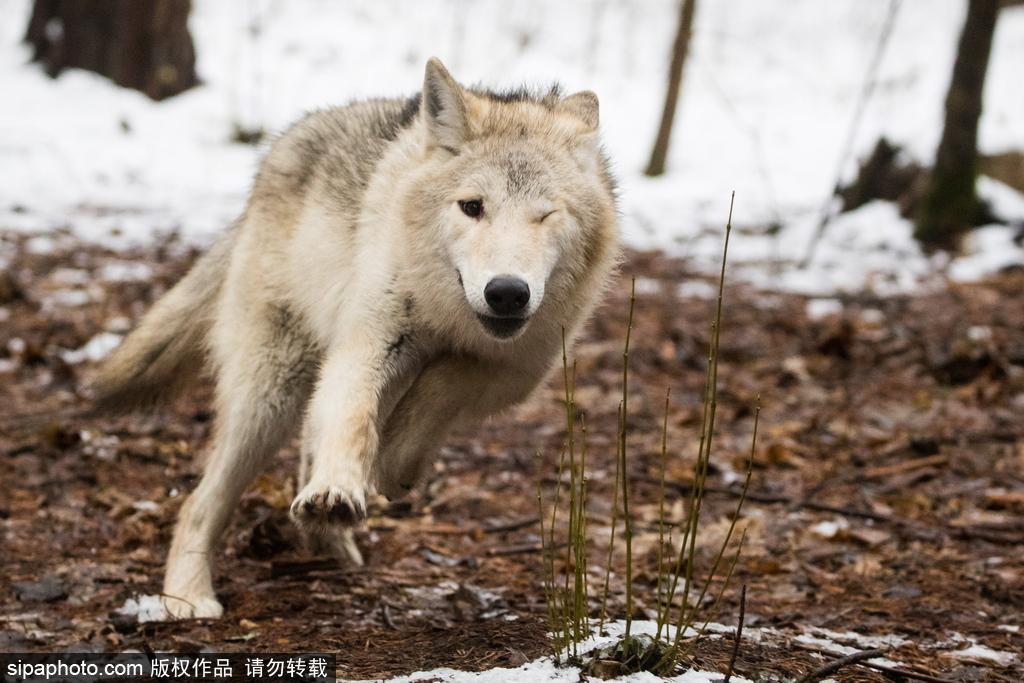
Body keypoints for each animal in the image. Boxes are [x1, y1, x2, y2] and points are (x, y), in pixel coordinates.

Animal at [92, 57, 614, 618]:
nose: (507, 293)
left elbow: (440, 385)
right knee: (200, 499)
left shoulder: (520, 369)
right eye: (472, 207)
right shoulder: (369, 341)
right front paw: (338, 488)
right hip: (269, 396)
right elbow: (353, 416)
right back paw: (189, 596)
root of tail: (277, 151)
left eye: (546, 214)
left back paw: (327, 540)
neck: (449, 314)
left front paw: (393, 465)